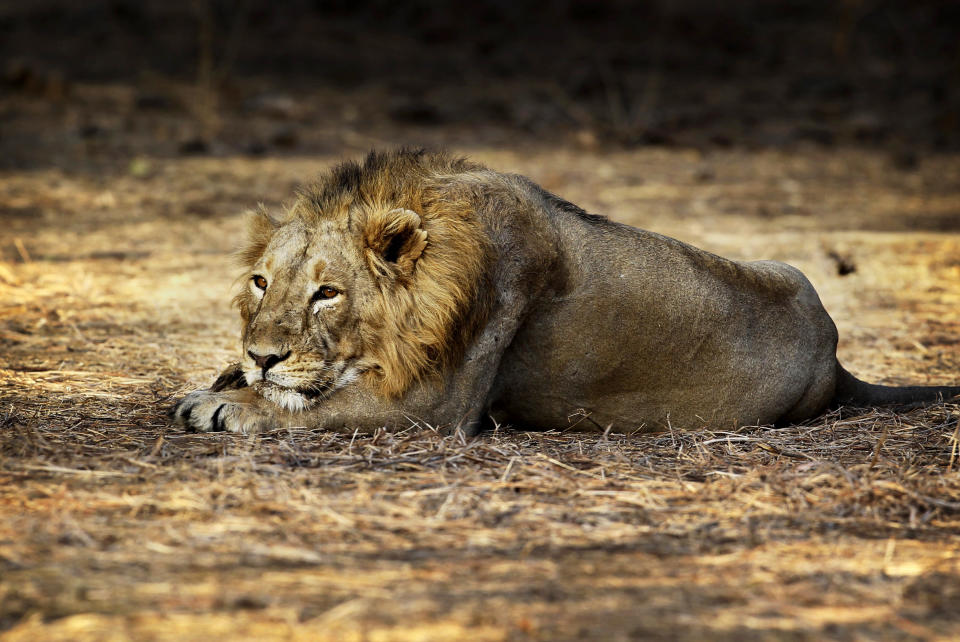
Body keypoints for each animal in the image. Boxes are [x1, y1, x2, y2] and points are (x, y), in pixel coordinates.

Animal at [172, 148, 960, 432]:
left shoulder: (436, 405)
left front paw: (226, 402)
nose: (261, 357)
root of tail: (834, 354)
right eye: (260, 282)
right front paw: (226, 378)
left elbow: (313, 407)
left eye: (326, 294)